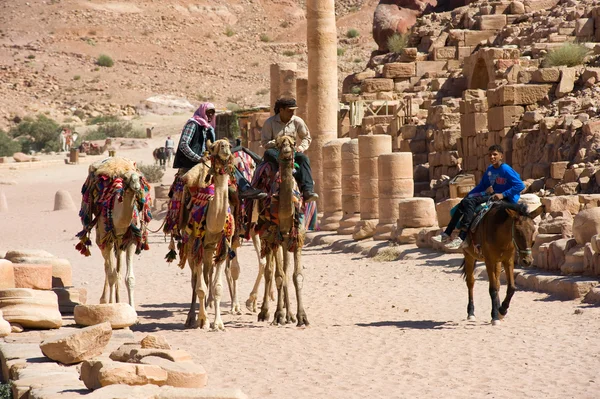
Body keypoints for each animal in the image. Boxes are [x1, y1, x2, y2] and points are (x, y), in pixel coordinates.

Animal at [256, 136, 310, 326]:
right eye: (279, 144)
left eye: (293, 144)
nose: (286, 151)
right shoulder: (274, 236)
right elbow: (279, 275)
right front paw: (278, 314)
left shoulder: (297, 236)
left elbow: (297, 276)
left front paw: (301, 316)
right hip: (266, 235)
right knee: (271, 271)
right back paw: (266, 313)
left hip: (286, 240)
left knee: (284, 271)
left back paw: (290, 315)